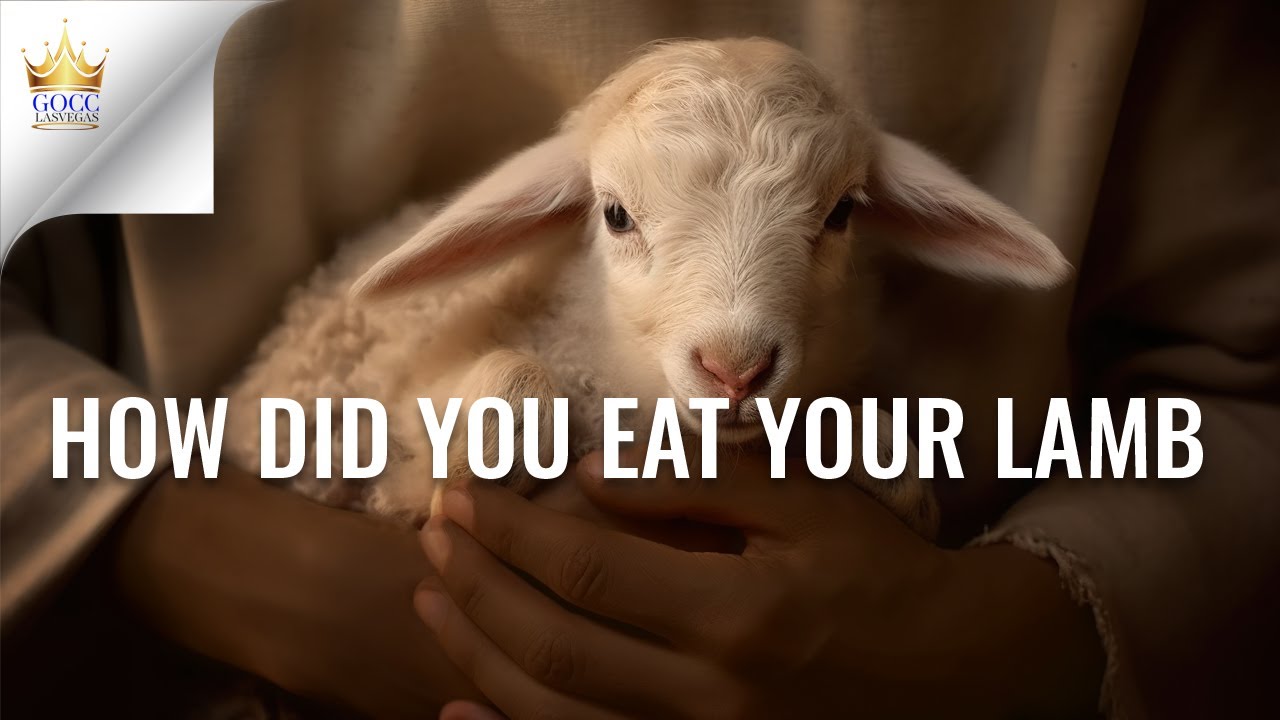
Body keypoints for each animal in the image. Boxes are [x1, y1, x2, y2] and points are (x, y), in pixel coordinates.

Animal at [222, 38, 1069, 539]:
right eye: (616, 214)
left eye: (841, 212)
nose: (735, 369)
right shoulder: (416, 378)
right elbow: (510, 384)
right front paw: (458, 469)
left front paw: (881, 460)